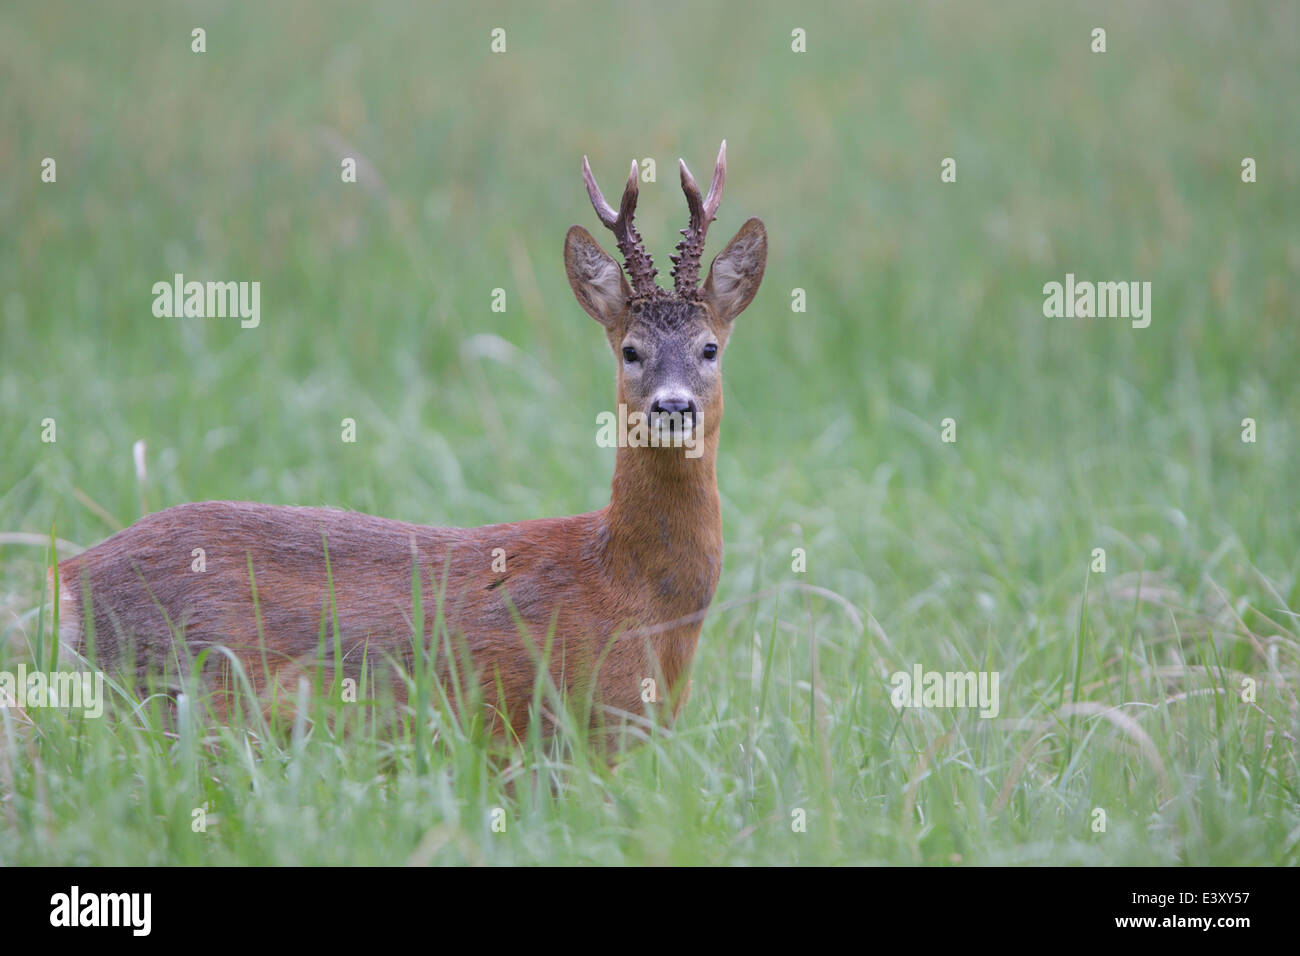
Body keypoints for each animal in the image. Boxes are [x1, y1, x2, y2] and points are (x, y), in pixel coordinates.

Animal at [45, 140, 764, 749]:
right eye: (630, 350)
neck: (630, 590)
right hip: (181, 690)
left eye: (709, 348)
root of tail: (71, 576)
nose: (673, 407)